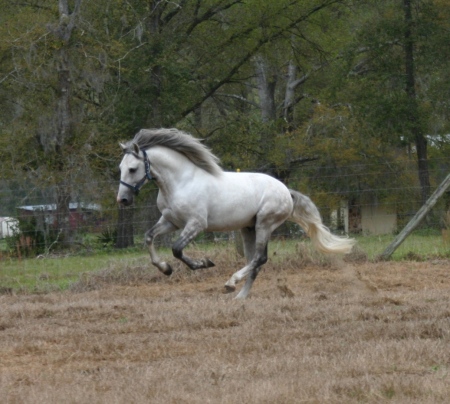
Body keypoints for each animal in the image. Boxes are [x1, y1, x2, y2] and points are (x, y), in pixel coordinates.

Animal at [116, 128, 356, 298]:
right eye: (121, 168)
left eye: (132, 169)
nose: (123, 200)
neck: (181, 182)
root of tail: (286, 190)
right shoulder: (170, 221)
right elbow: (149, 237)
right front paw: (165, 269)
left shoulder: (196, 224)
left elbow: (176, 249)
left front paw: (204, 263)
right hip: (248, 228)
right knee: (256, 262)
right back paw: (239, 297)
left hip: (264, 224)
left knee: (259, 258)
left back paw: (231, 284)